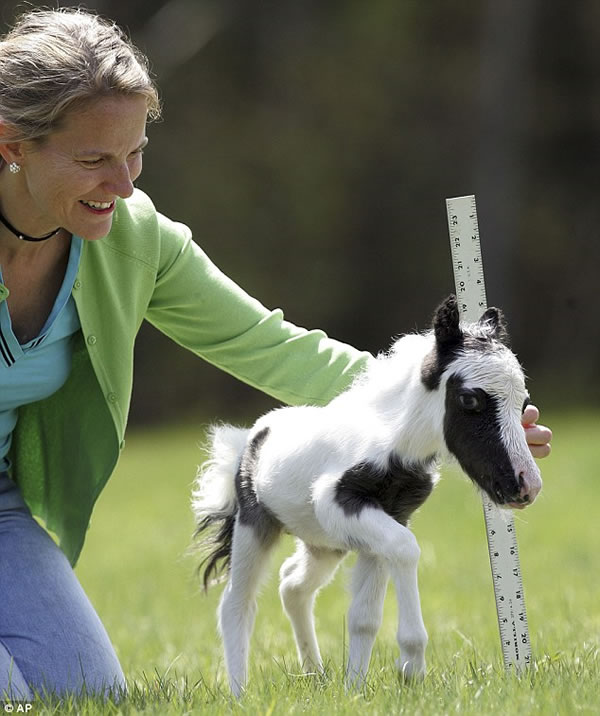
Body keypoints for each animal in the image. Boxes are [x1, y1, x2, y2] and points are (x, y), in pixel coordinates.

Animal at [192, 294, 542, 697]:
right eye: (470, 400)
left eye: (523, 403)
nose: (526, 485)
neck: (393, 442)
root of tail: (250, 438)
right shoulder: (338, 503)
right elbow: (406, 549)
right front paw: (411, 665)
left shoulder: (386, 519)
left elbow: (364, 616)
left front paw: (354, 690)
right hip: (255, 526)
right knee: (237, 601)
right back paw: (239, 694)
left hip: (324, 544)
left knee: (292, 584)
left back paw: (315, 674)